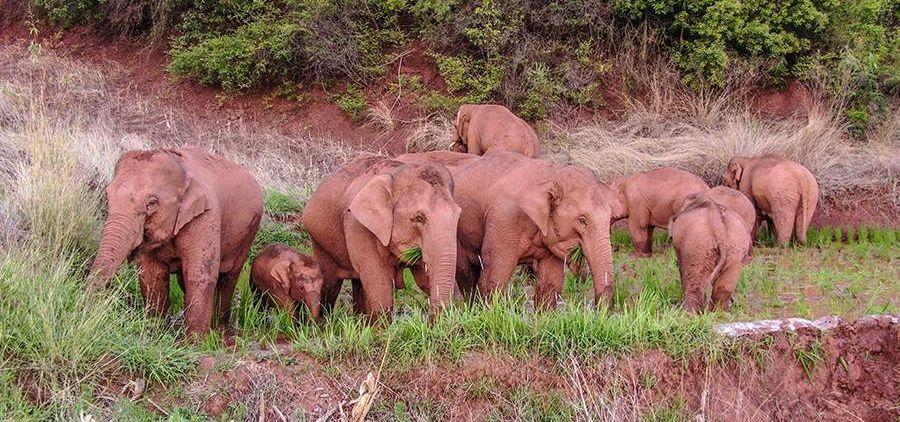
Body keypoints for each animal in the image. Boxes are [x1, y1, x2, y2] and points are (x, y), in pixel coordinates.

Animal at [89, 147, 262, 338]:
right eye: (107, 196)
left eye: (152, 203)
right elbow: (152, 275)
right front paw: (156, 331)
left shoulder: (205, 216)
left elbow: (199, 274)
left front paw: (195, 341)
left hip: (248, 234)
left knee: (228, 278)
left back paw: (220, 329)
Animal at [302, 156, 460, 320]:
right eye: (419, 218)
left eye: (458, 215)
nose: (429, 320)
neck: (395, 174)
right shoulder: (358, 226)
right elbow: (380, 288)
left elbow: (423, 280)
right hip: (320, 241)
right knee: (330, 285)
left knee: (359, 284)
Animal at [398, 150, 624, 308]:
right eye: (582, 220)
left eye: (610, 219)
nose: (597, 312)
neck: (551, 173)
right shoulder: (505, 219)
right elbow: (495, 276)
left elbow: (551, 282)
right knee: (466, 273)